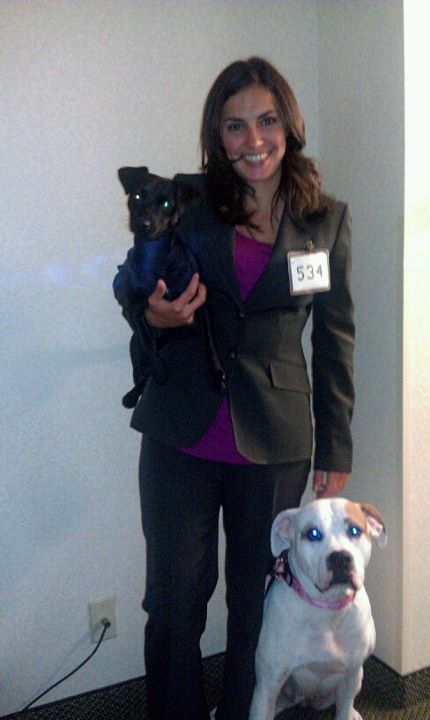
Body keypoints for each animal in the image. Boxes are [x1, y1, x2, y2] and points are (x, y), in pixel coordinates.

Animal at [118, 165, 225, 408]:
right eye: (137, 196)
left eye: (166, 204)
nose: (143, 224)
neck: (154, 254)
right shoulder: (134, 308)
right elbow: (148, 342)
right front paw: (159, 370)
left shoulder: (200, 304)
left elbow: (210, 344)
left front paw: (216, 374)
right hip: (133, 345)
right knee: (141, 368)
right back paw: (134, 393)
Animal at [249, 498, 386, 720]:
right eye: (313, 534)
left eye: (355, 530)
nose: (340, 557)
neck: (327, 610)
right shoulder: (268, 685)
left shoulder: (351, 676)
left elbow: (344, 708)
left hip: (357, 679)